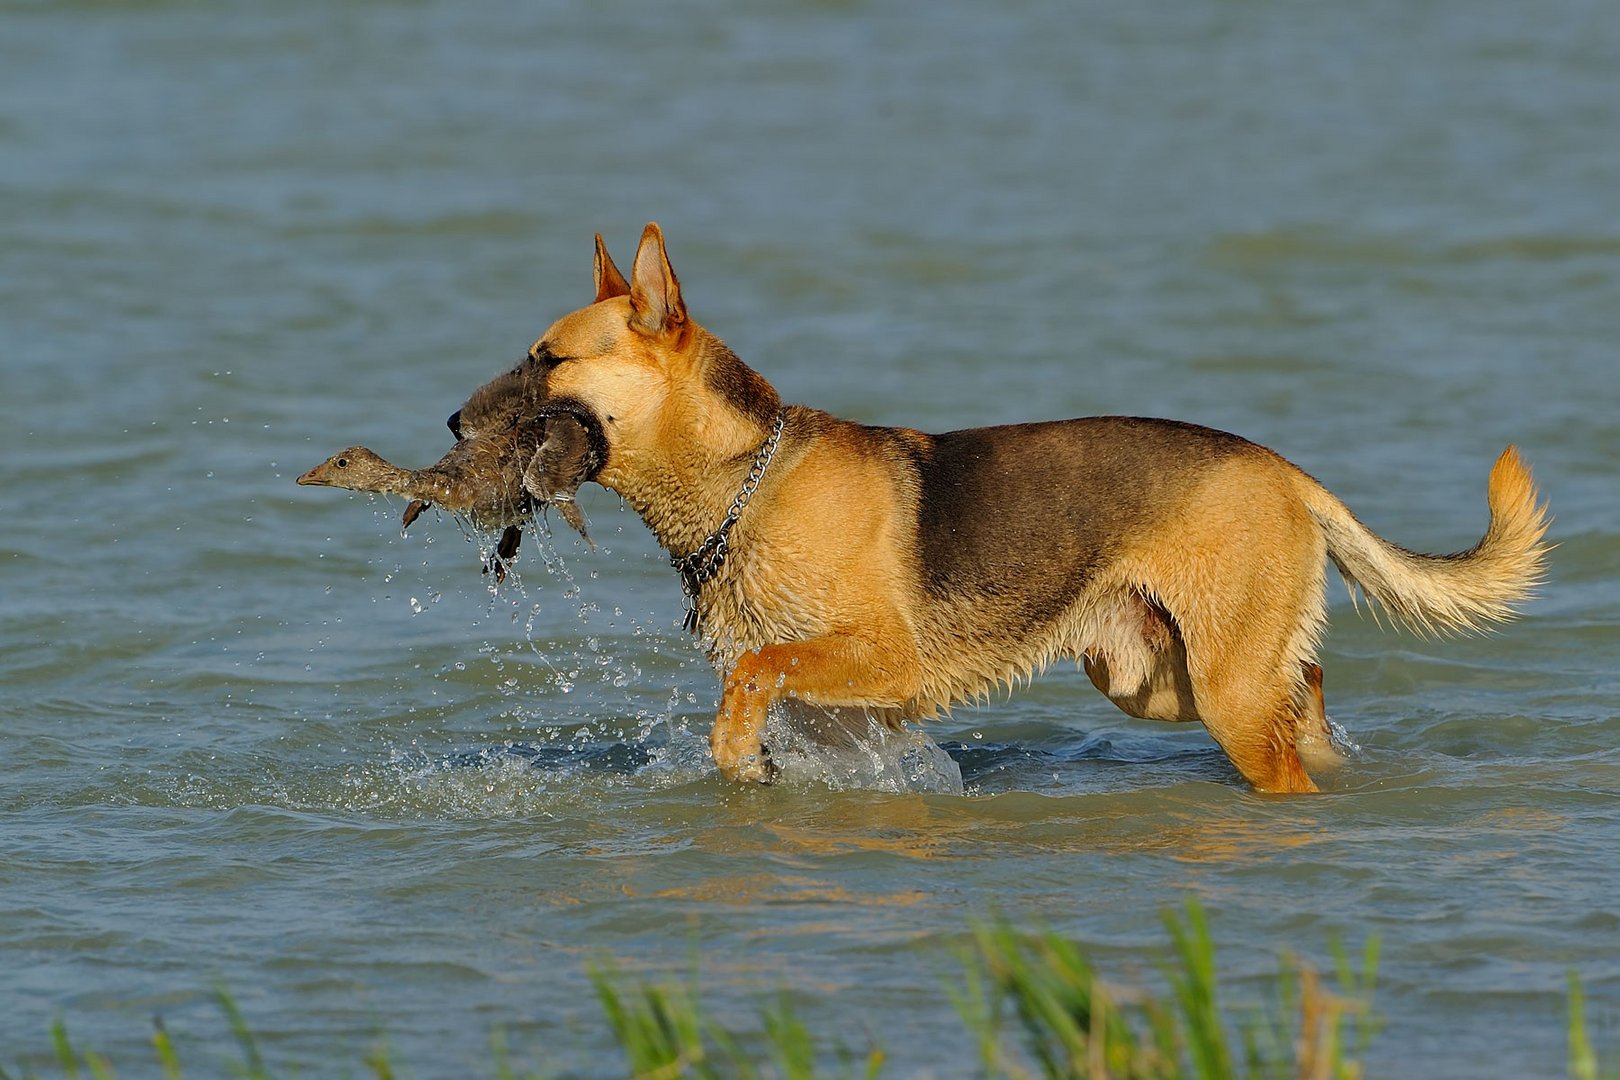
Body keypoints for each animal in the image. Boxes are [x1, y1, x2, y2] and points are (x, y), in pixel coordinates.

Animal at [298, 221, 1548, 793]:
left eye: (548, 362)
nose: (453, 424)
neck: (745, 479)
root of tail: (1284, 468)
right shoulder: (845, 697)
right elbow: (763, 678)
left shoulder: (880, 662)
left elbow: (757, 672)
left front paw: (735, 752)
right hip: (1158, 678)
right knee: (1309, 691)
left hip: (1222, 694)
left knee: (1284, 744)